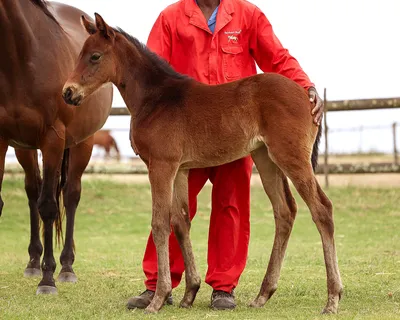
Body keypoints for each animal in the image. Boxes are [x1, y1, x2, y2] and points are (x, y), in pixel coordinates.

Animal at [0, 1, 112, 294]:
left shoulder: (53, 139)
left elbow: (50, 206)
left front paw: (48, 278)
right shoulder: (2, 140)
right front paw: (39, 266)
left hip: (82, 144)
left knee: (70, 196)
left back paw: (66, 267)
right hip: (25, 149)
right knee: (32, 191)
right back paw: (32, 262)